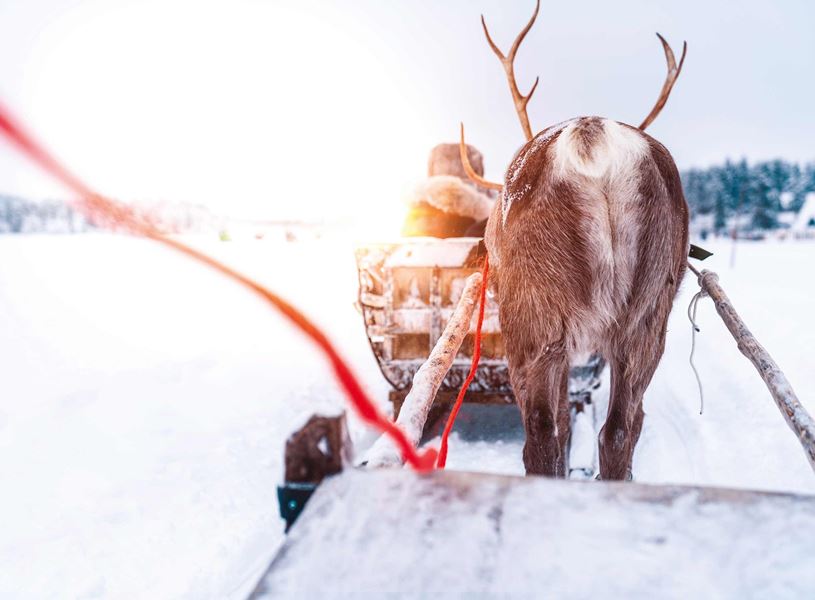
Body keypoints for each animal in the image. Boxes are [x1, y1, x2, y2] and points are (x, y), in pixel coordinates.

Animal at [460, 0, 690, 480]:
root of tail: (593, 141)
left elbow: (563, 420)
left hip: (532, 315)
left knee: (543, 436)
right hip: (648, 316)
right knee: (619, 429)